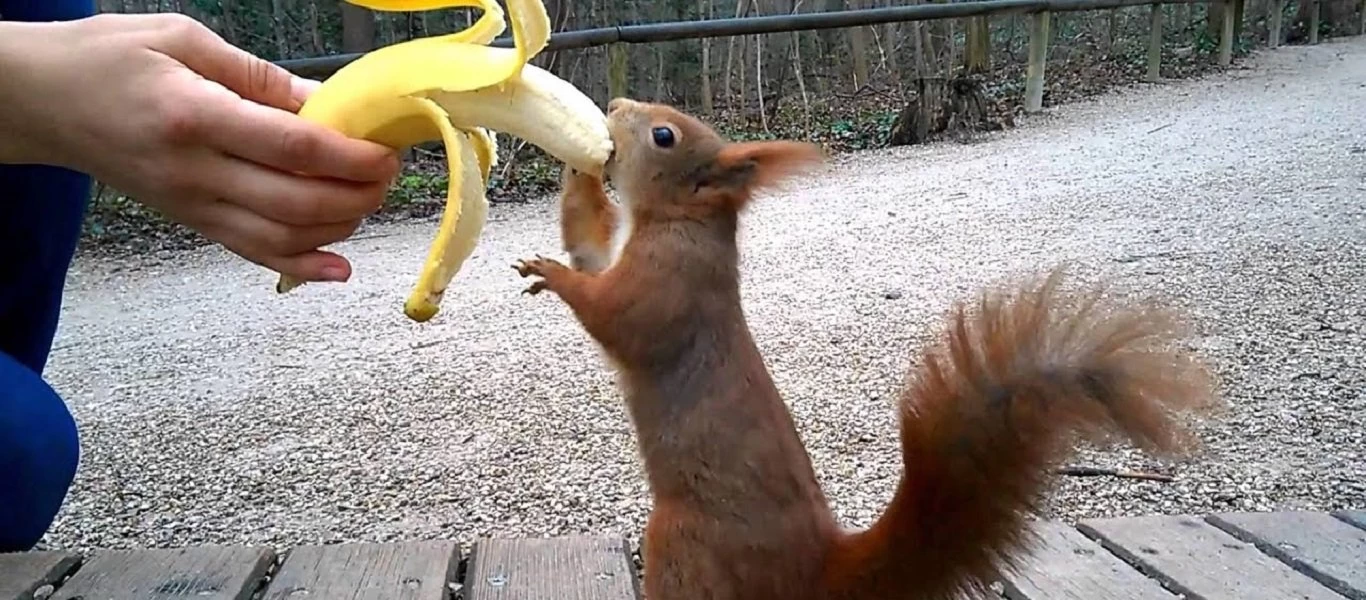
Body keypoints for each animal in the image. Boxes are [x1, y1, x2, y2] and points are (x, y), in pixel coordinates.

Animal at [516, 96, 1223, 598]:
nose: (612, 106)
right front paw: (575, 171)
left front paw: (553, 273)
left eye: (663, 135)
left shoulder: (669, 287)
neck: (676, 221)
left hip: (683, 544)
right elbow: (589, 244)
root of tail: (815, 571)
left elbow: (614, 315)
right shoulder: (619, 251)